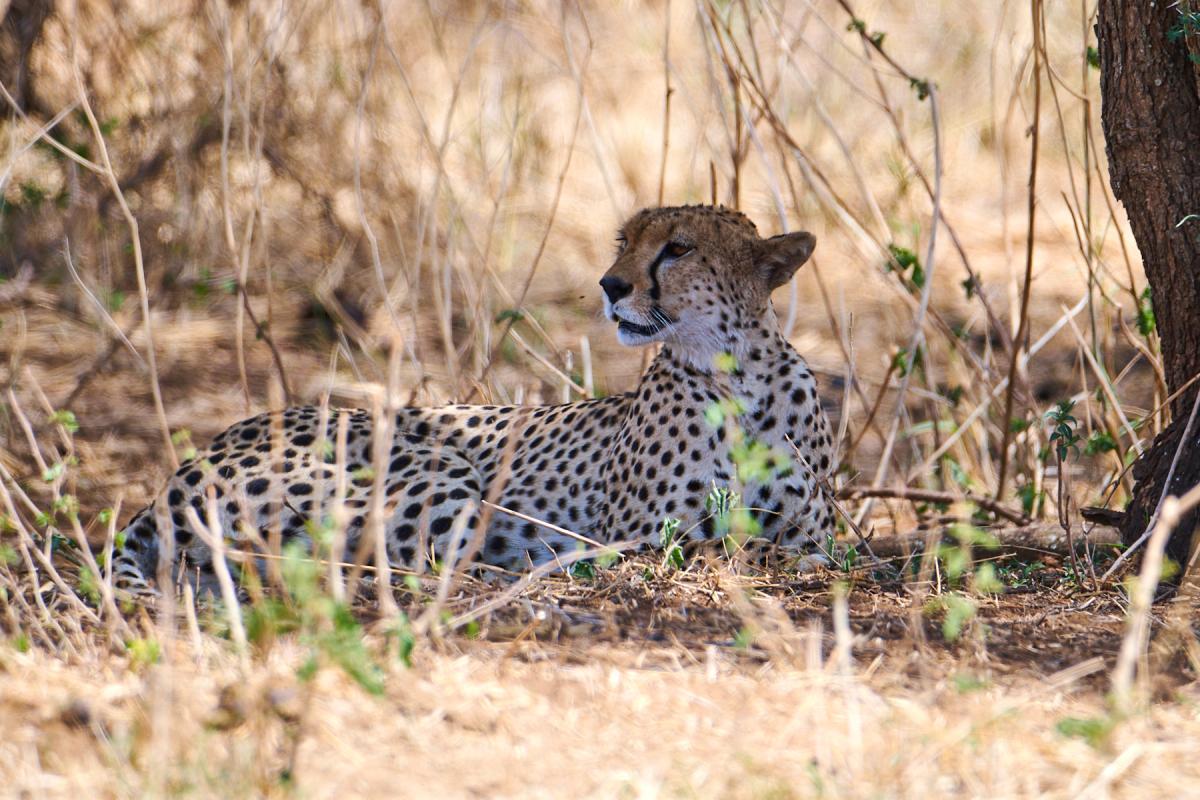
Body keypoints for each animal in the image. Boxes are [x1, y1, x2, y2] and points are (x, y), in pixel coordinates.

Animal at [113, 205, 837, 596]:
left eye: (678, 248)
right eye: (624, 243)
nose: (610, 285)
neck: (738, 376)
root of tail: (184, 467)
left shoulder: (812, 529)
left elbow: (792, 547)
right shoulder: (640, 533)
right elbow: (720, 547)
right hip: (430, 476)